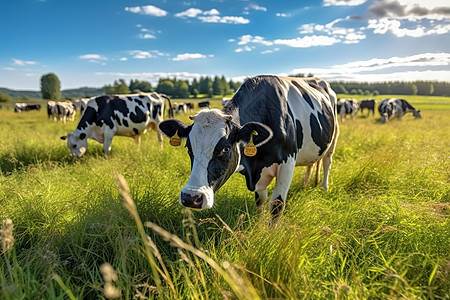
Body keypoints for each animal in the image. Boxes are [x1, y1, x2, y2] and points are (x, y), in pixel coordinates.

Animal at [160, 75, 340, 220]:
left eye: (225, 149)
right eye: (189, 148)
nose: (191, 197)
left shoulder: (288, 162)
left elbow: (276, 205)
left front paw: (270, 236)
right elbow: (260, 200)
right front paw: (259, 227)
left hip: (334, 137)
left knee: (327, 161)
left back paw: (324, 187)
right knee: (312, 163)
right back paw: (306, 182)